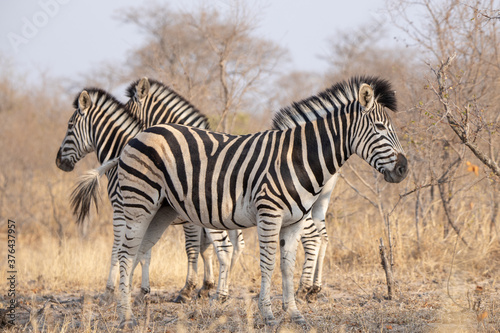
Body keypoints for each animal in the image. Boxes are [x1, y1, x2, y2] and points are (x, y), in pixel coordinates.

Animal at [55, 78, 243, 300]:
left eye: (69, 126)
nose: (58, 162)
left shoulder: (121, 209)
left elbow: (118, 247)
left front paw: (111, 289)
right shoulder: (146, 211)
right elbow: (147, 251)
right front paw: (144, 289)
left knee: (227, 247)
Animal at [76, 76, 408, 326]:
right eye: (380, 128)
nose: (404, 169)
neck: (298, 157)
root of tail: (135, 138)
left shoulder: (294, 222)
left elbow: (286, 265)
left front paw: (294, 314)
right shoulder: (268, 215)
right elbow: (266, 263)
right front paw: (269, 315)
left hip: (160, 211)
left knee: (136, 252)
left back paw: (130, 307)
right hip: (137, 204)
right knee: (125, 253)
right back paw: (125, 316)